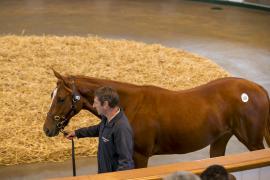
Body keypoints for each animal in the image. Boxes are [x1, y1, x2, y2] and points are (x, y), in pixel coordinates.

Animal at [43, 69, 268, 168]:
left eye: (60, 98)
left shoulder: (140, 156)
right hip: (220, 140)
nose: (47, 128)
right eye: (50, 95)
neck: (130, 105)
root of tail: (258, 88)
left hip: (253, 142)